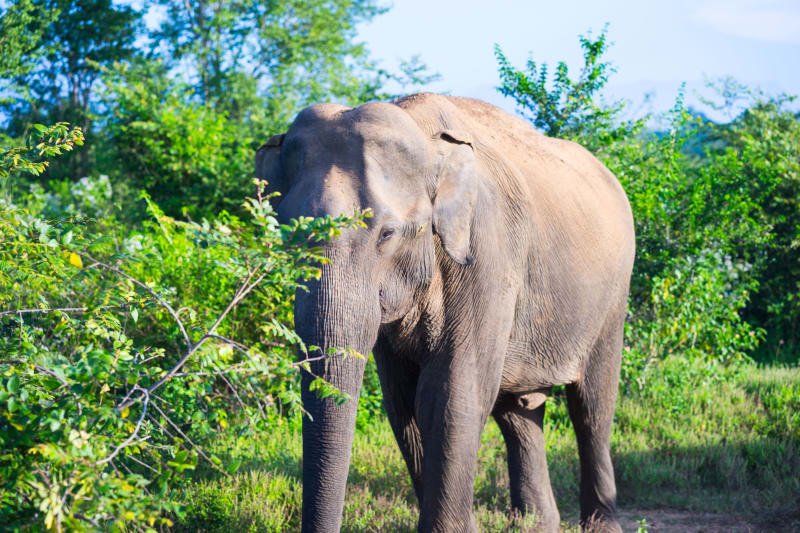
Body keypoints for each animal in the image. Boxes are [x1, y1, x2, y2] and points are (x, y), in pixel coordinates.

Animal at [255, 92, 635, 533]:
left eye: (386, 234)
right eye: (285, 234)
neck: (422, 132)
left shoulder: (487, 253)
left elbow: (447, 395)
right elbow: (403, 402)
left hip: (613, 295)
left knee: (592, 405)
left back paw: (599, 524)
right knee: (519, 414)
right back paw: (535, 523)